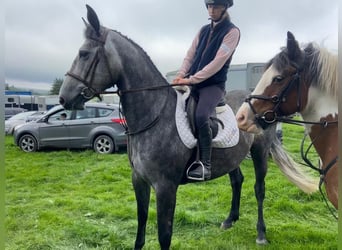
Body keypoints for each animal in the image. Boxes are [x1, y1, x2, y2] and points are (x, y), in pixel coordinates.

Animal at [58, 4, 318, 249]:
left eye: (83, 53)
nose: (63, 98)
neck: (154, 115)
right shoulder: (138, 181)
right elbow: (140, 228)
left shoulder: (165, 187)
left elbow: (164, 236)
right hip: (233, 156)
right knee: (237, 181)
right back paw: (230, 219)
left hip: (260, 152)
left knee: (259, 189)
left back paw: (261, 234)